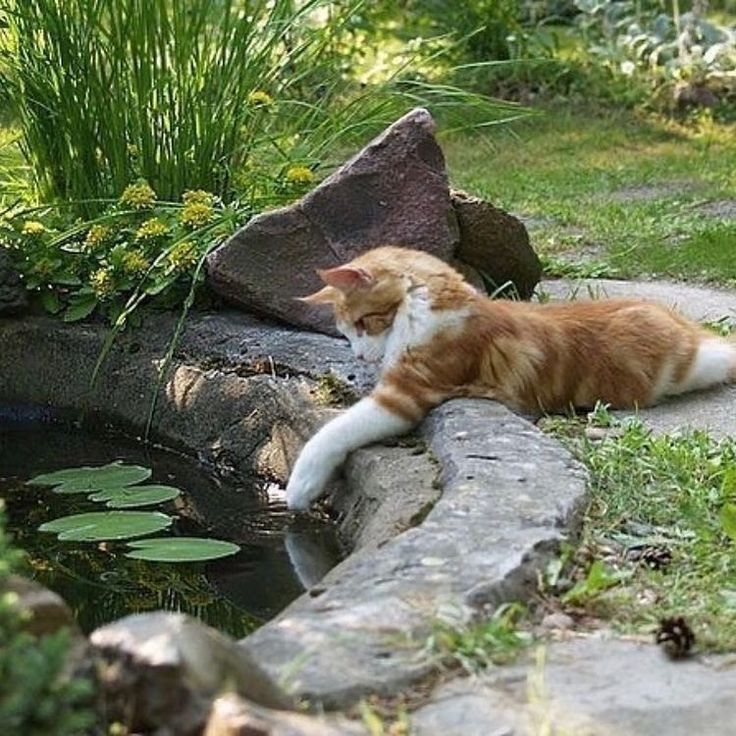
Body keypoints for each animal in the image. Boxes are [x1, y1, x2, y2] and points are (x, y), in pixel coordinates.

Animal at [286, 244, 736, 508]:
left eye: (362, 324)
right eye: (346, 333)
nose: (359, 355)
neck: (427, 305)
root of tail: (679, 324)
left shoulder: (406, 393)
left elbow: (332, 432)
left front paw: (299, 486)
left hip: (684, 366)